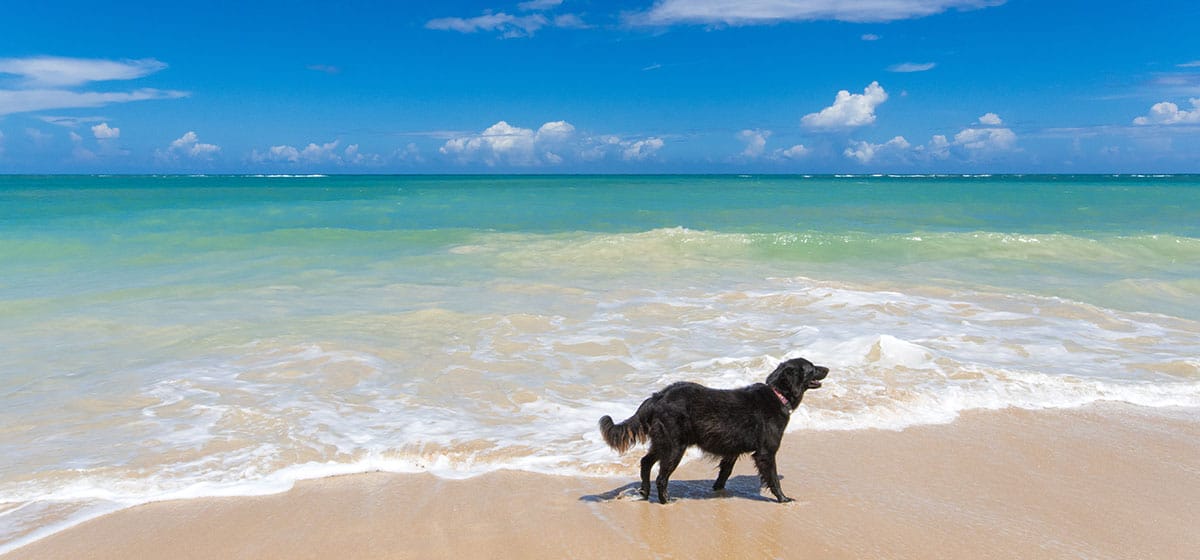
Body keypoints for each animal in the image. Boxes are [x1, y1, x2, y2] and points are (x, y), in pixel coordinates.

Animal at [597, 359, 830, 503]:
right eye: (811, 368)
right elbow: (772, 478)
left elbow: (724, 473)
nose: (827, 368)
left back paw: (645, 492)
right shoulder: (766, 452)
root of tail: (658, 397)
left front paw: (718, 491)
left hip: (662, 442)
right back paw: (666, 501)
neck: (777, 394)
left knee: (645, 463)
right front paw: (783, 499)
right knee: (661, 478)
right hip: (674, 447)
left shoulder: (731, 452)